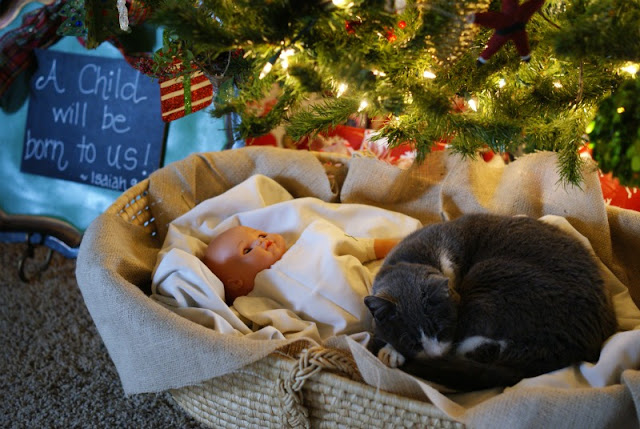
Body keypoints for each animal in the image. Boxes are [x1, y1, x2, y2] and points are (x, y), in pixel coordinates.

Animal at [364, 213, 617, 391]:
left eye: (442, 330)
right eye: (412, 342)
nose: (435, 356)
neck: (418, 255)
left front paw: (391, 351)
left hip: (489, 278)